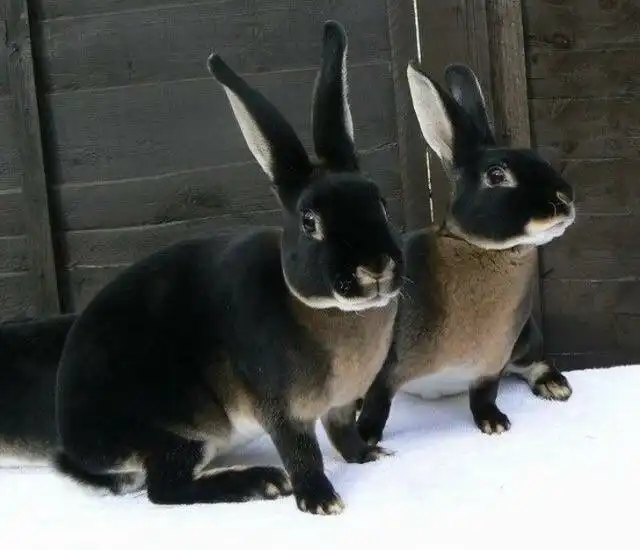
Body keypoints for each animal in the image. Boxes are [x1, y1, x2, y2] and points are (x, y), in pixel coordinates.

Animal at [52, 20, 404, 515]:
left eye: (381, 203)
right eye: (309, 222)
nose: (374, 266)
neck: (328, 312)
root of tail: (77, 445)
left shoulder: (338, 406)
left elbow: (343, 434)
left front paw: (370, 455)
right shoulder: (281, 410)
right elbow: (302, 453)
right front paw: (321, 501)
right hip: (176, 430)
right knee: (165, 490)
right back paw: (261, 482)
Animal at [356, 60, 575, 445]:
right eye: (497, 175)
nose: (564, 200)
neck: (479, 247)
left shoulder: (490, 366)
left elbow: (484, 396)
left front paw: (494, 423)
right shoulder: (386, 368)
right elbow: (378, 403)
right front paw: (365, 438)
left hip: (525, 337)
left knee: (535, 361)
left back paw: (556, 386)